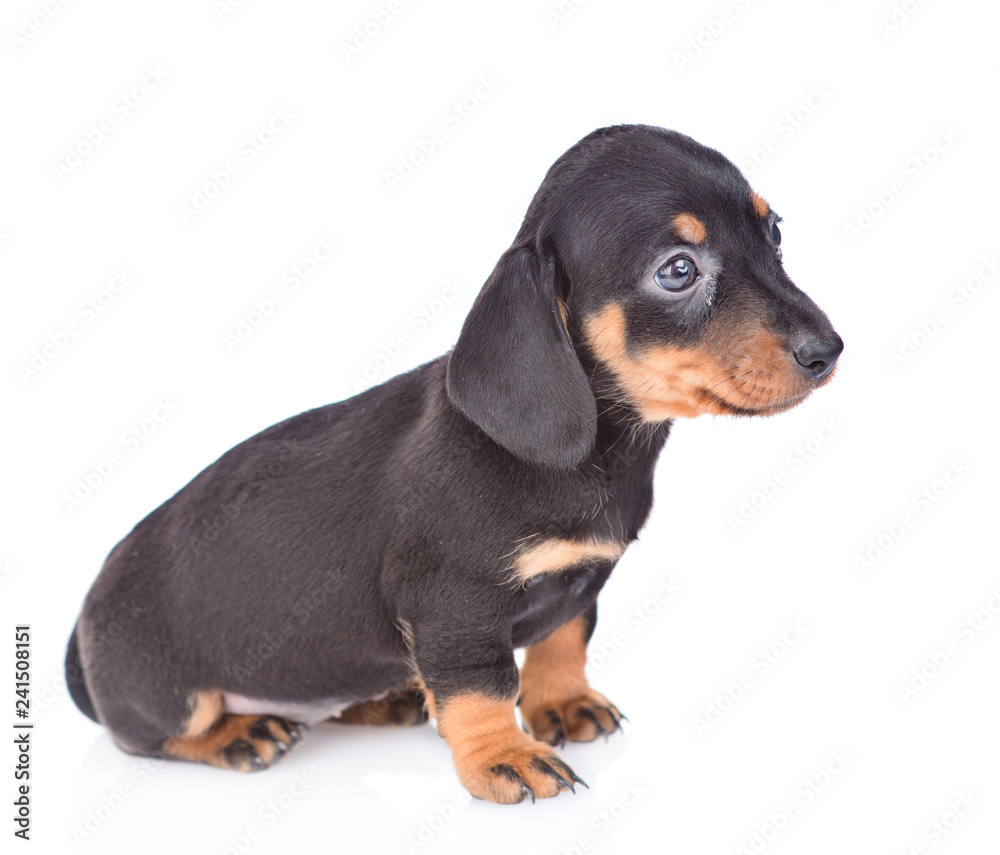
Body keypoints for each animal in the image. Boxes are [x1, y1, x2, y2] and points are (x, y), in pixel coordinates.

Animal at [66, 123, 840, 804]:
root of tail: (82, 629)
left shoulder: (578, 582)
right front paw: (503, 756)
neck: (596, 455)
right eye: (677, 270)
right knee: (151, 733)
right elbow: (481, 685)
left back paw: (383, 700)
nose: (828, 350)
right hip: (167, 690)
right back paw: (239, 732)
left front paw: (563, 704)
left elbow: (563, 641)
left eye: (774, 233)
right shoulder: (456, 608)